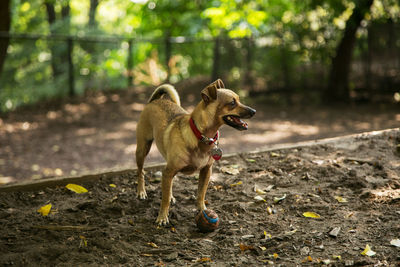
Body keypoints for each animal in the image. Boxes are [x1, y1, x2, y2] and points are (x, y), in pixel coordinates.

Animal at [136, 80, 256, 226]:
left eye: (238, 100)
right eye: (232, 103)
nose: (254, 111)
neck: (202, 136)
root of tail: (155, 100)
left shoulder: (206, 170)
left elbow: (201, 193)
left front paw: (202, 209)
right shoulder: (169, 170)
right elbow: (164, 200)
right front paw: (162, 217)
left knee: (168, 184)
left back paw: (171, 195)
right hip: (142, 149)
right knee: (141, 172)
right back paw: (141, 191)